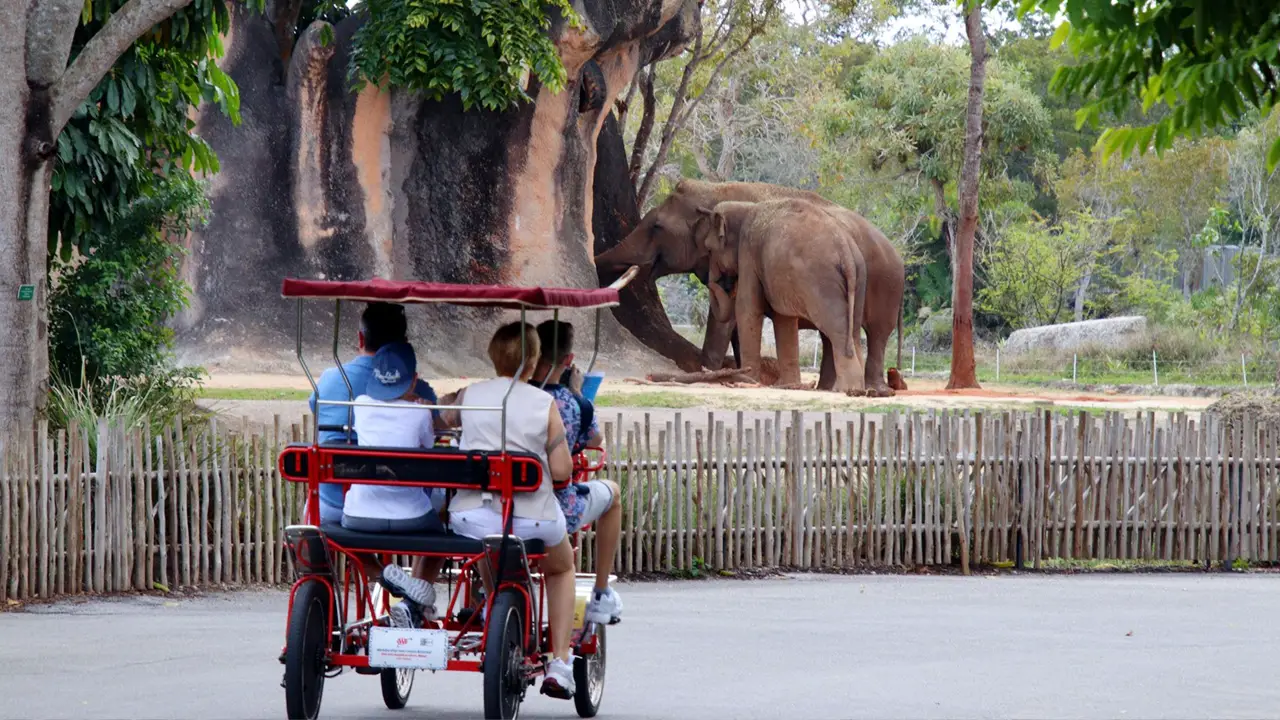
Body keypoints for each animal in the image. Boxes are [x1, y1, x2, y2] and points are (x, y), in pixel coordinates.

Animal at [593, 176, 906, 394]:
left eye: (657, 227)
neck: (716, 189)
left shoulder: (748, 255)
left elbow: (735, 314)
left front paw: (714, 374)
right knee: (837, 335)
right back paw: (829, 388)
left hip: (884, 288)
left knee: (875, 334)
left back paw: (866, 389)